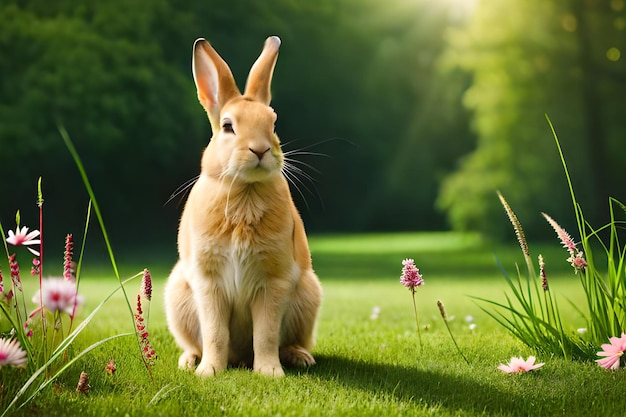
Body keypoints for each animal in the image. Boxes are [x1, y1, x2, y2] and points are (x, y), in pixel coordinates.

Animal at [165, 35, 322, 376]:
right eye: (228, 126)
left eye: (273, 124)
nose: (260, 150)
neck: (245, 190)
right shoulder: (208, 283)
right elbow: (215, 333)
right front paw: (209, 373)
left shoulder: (273, 282)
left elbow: (265, 334)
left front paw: (270, 373)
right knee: (196, 343)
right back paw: (189, 362)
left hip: (307, 296)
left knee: (287, 340)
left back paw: (299, 357)